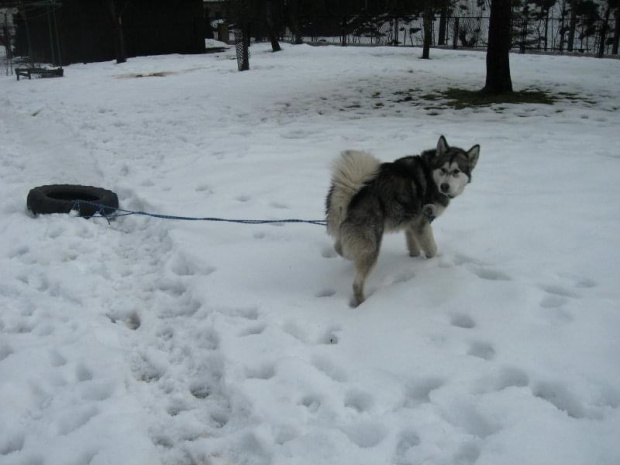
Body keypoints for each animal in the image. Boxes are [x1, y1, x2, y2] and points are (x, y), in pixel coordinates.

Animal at [326, 136, 482, 306]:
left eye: (456, 171)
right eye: (443, 169)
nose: (444, 186)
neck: (430, 175)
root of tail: (350, 194)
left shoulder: (411, 224)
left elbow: (413, 246)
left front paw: (413, 258)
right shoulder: (422, 223)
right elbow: (432, 249)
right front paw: (432, 263)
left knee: (339, 248)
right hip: (371, 244)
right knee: (356, 283)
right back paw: (362, 302)